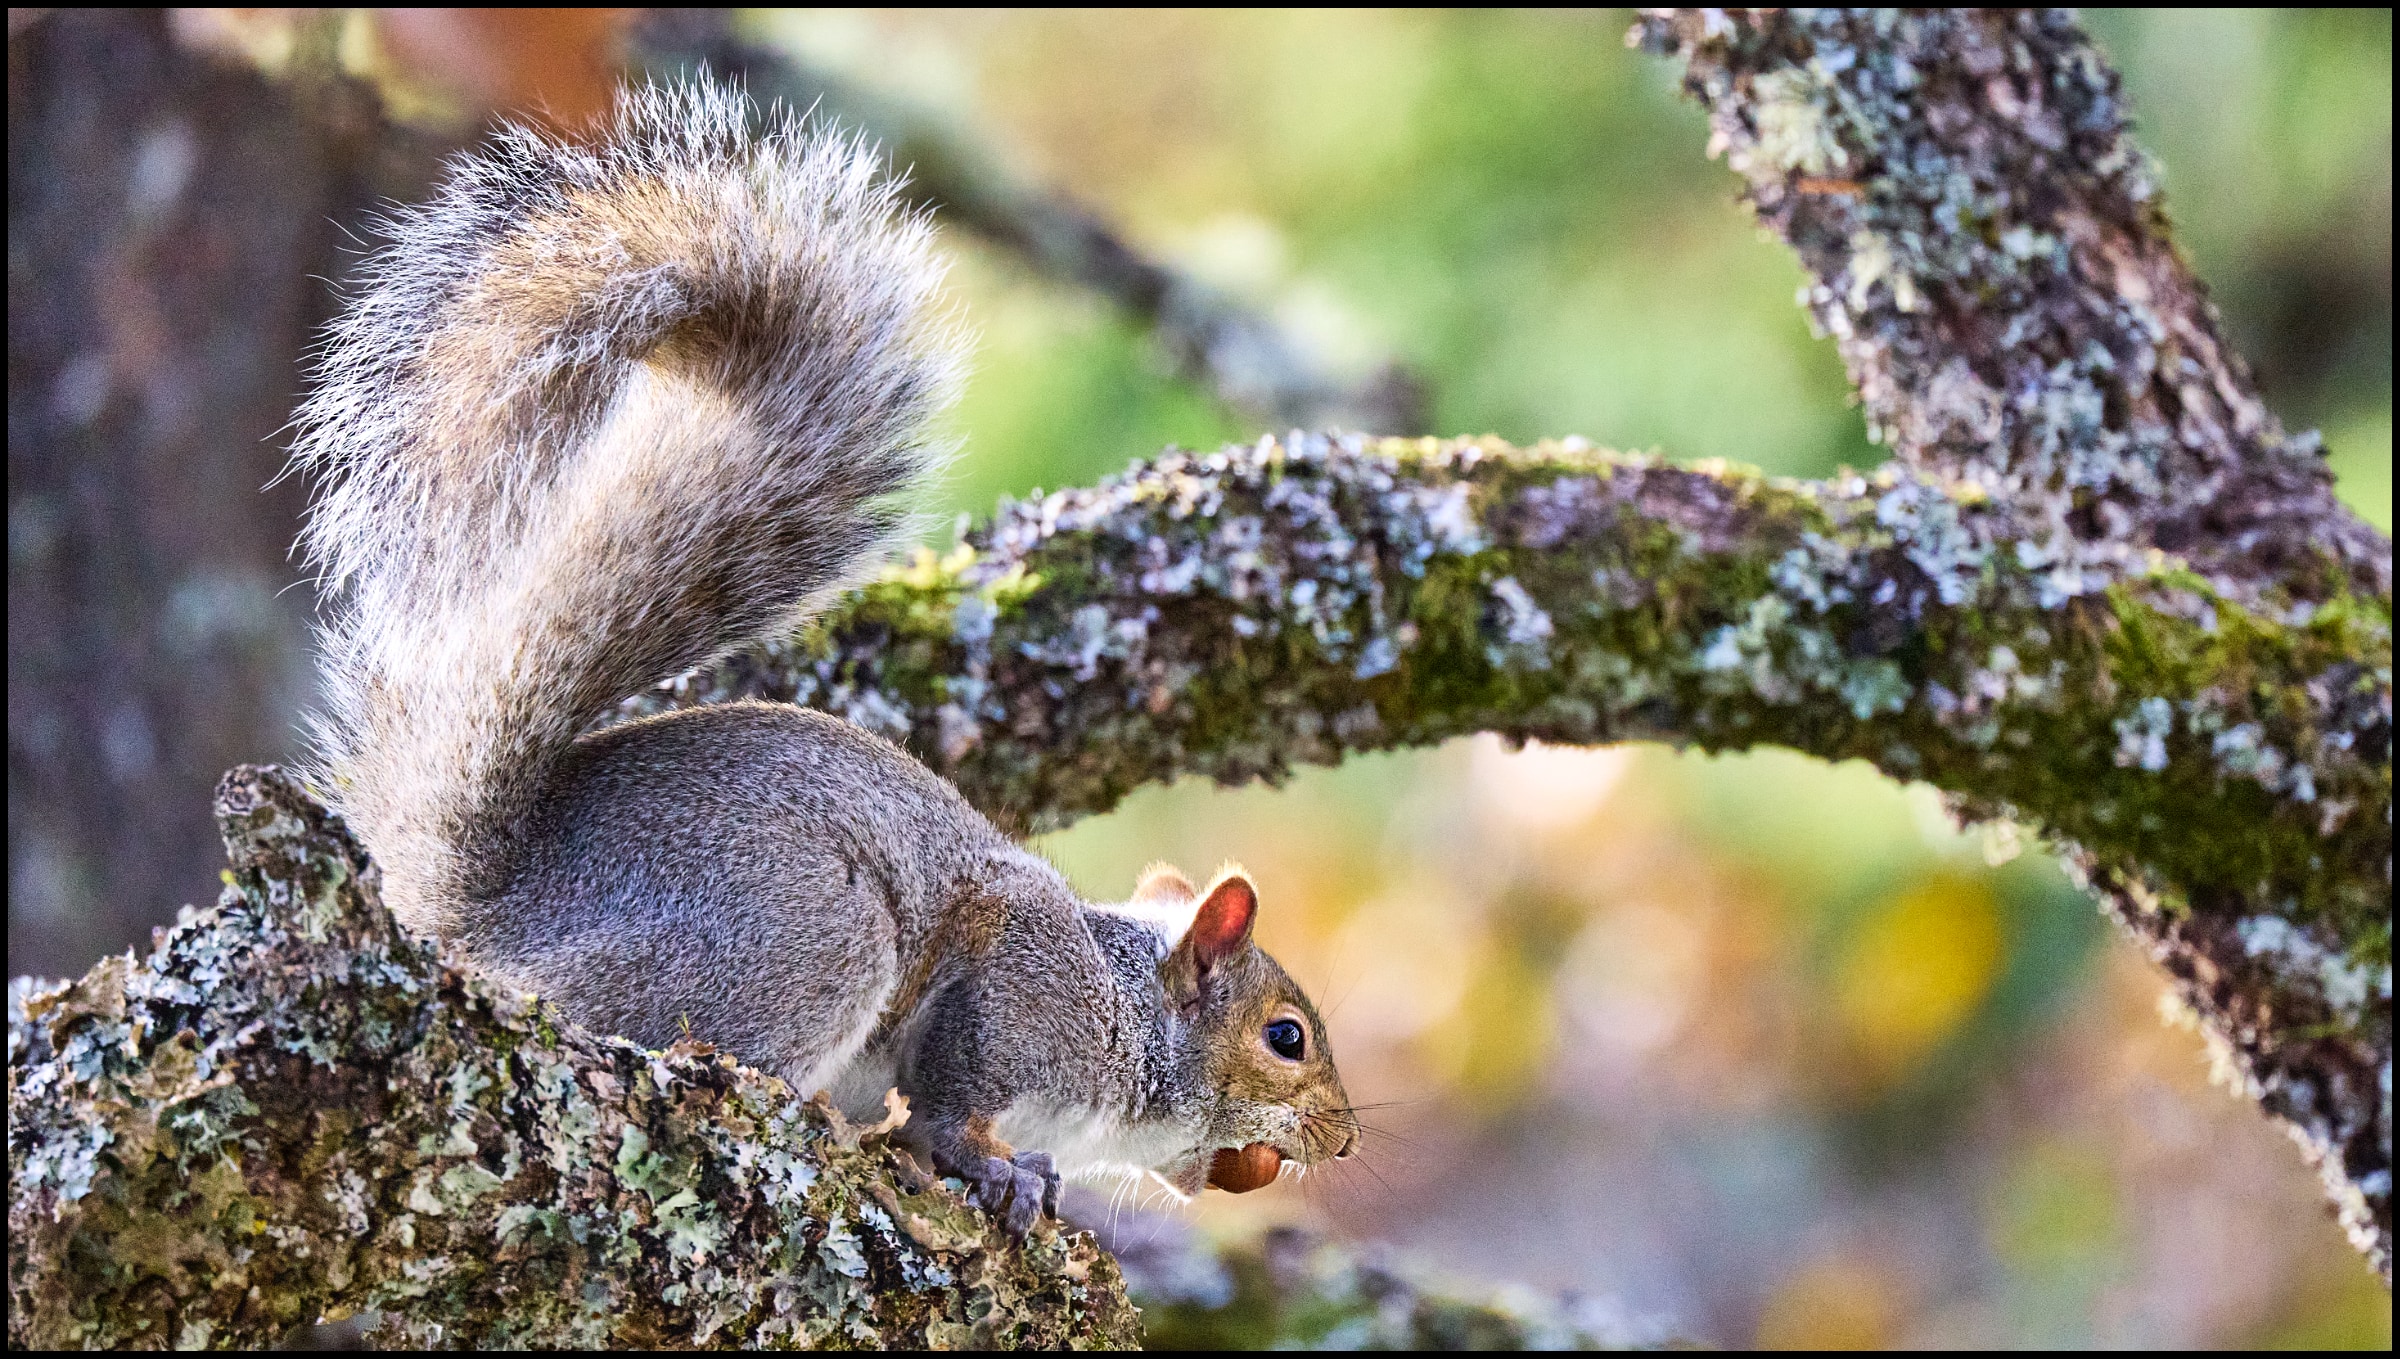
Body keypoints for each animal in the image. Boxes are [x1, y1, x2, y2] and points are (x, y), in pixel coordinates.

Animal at [289, 81, 1358, 1234]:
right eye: (1286, 1037)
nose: (1345, 1139)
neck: (1126, 1004)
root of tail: (485, 914)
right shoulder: (1017, 989)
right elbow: (950, 1099)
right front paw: (993, 1166)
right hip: (811, 933)